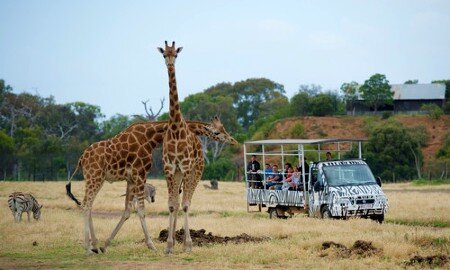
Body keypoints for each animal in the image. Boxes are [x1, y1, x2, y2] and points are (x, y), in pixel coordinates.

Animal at [65, 118, 237, 255]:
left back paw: (94, 246)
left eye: (223, 128)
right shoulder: (140, 174)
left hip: (96, 178)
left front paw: (106, 245)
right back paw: (88, 248)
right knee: (86, 205)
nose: (232, 140)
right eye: (216, 132)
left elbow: (127, 211)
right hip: (94, 176)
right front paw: (152, 246)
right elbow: (141, 210)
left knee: (88, 205)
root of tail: (81, 159)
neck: (151, 138)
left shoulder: (131, 179)